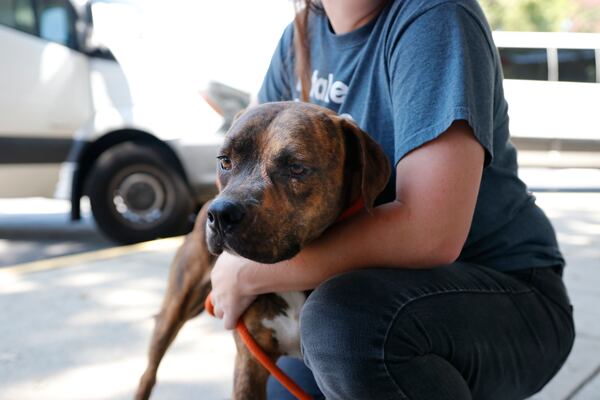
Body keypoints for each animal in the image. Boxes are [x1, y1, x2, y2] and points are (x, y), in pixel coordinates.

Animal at [134, 101, 392, 398]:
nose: (220, 214)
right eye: (224, 161)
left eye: (296, 167)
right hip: (175, 307)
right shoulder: (249, 363)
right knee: (149, 372)